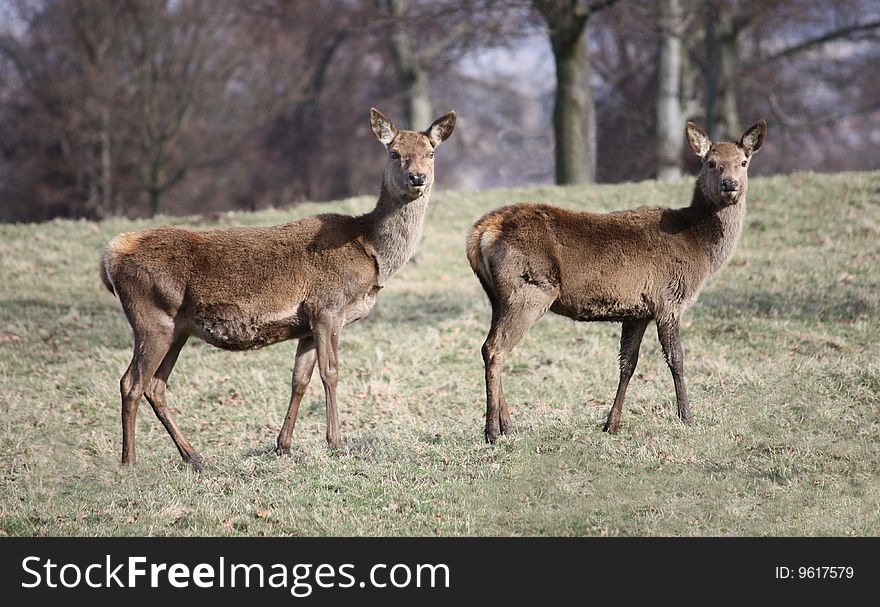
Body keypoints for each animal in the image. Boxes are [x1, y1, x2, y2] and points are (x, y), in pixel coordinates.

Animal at [100, 108, 458, 470]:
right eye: (394, 152)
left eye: (431, 153)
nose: (417, 177)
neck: (370, 253)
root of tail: (110, 257)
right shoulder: (327, 306)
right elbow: (331, 372)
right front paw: (336, 442)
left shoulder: (307, 324)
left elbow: (299, 380)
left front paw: (283, 445)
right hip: (152, 318)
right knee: (131, 382)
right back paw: (129, 461)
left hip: (178, 328)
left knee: (156, 385)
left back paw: (194, 456)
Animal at [468, 120, 764, 442]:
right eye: (711, 162)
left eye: (743, 162)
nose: (730, 184)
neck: (700, 247)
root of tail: (482, 233)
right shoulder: (668, 300)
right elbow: (676, 358)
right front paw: (686, 417)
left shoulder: (638, 311)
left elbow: (627, 364)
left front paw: (612, 424)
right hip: (528, 291)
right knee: (496, 349)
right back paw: (492, 432)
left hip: (497, 298)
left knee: (488, 346)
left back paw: (508, 426)